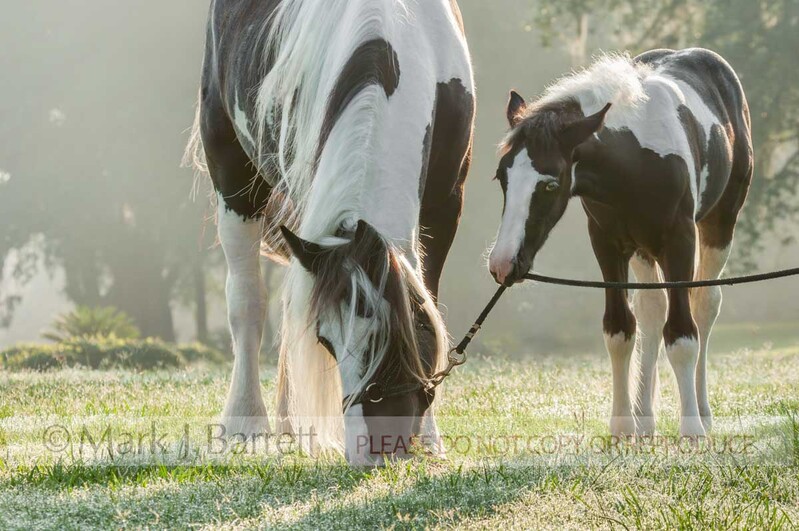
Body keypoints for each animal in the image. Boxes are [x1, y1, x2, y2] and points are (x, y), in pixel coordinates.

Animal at [185, 0, 475, 464]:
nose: (373, 449)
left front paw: (430, 438)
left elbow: (431, 300)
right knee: (248, 302)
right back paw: (246, 423)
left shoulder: (447, 202)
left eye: (396, 333)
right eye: (327, 340)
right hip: (230, 169)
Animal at [488, 49, 753, 438]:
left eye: (551, 184)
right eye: (501, 177)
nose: (503, 264)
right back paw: (645, 416)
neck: (634, 161)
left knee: (705, 304)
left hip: (719, 225)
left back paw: (702, 412)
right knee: (651, 309)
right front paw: (623, 426)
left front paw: (691, 431)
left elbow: (682, 334)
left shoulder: (680, 241)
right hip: (642, 248)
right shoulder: (607, 245)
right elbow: (620, 329)